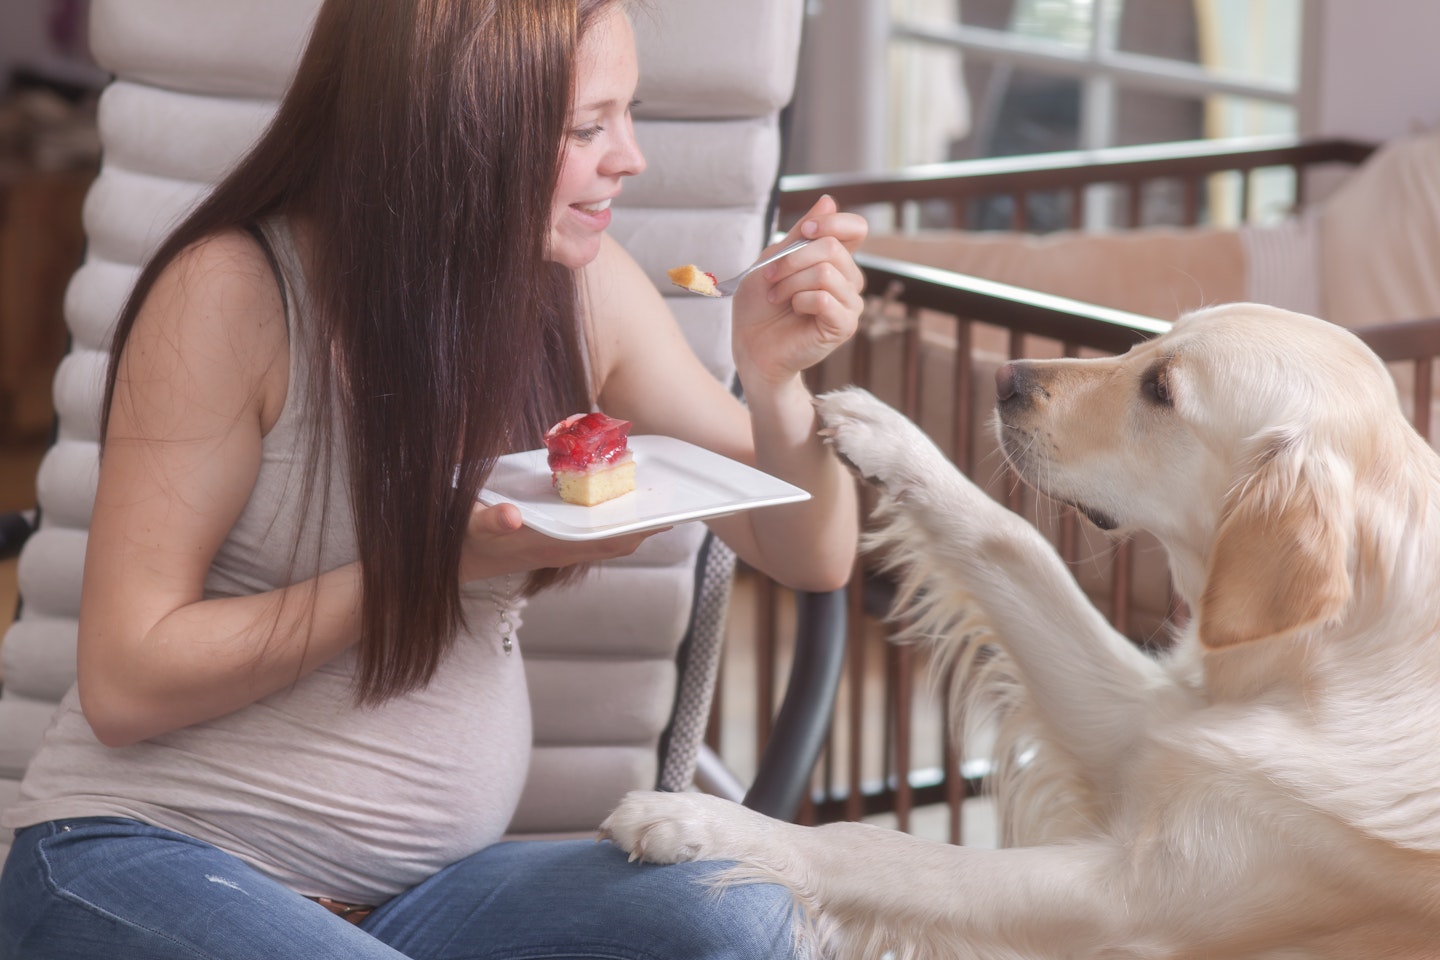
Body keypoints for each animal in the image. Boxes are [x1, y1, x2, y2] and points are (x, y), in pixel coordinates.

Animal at [601, 303, 1440, 955]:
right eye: (1150, 344)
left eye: (1161, 390)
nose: (1005, 377)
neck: (1321, 664)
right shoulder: (1136, 730)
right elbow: (1011, 539)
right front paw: (889, 435)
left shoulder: (1132, 903)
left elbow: (874, 845)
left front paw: (694, 819)